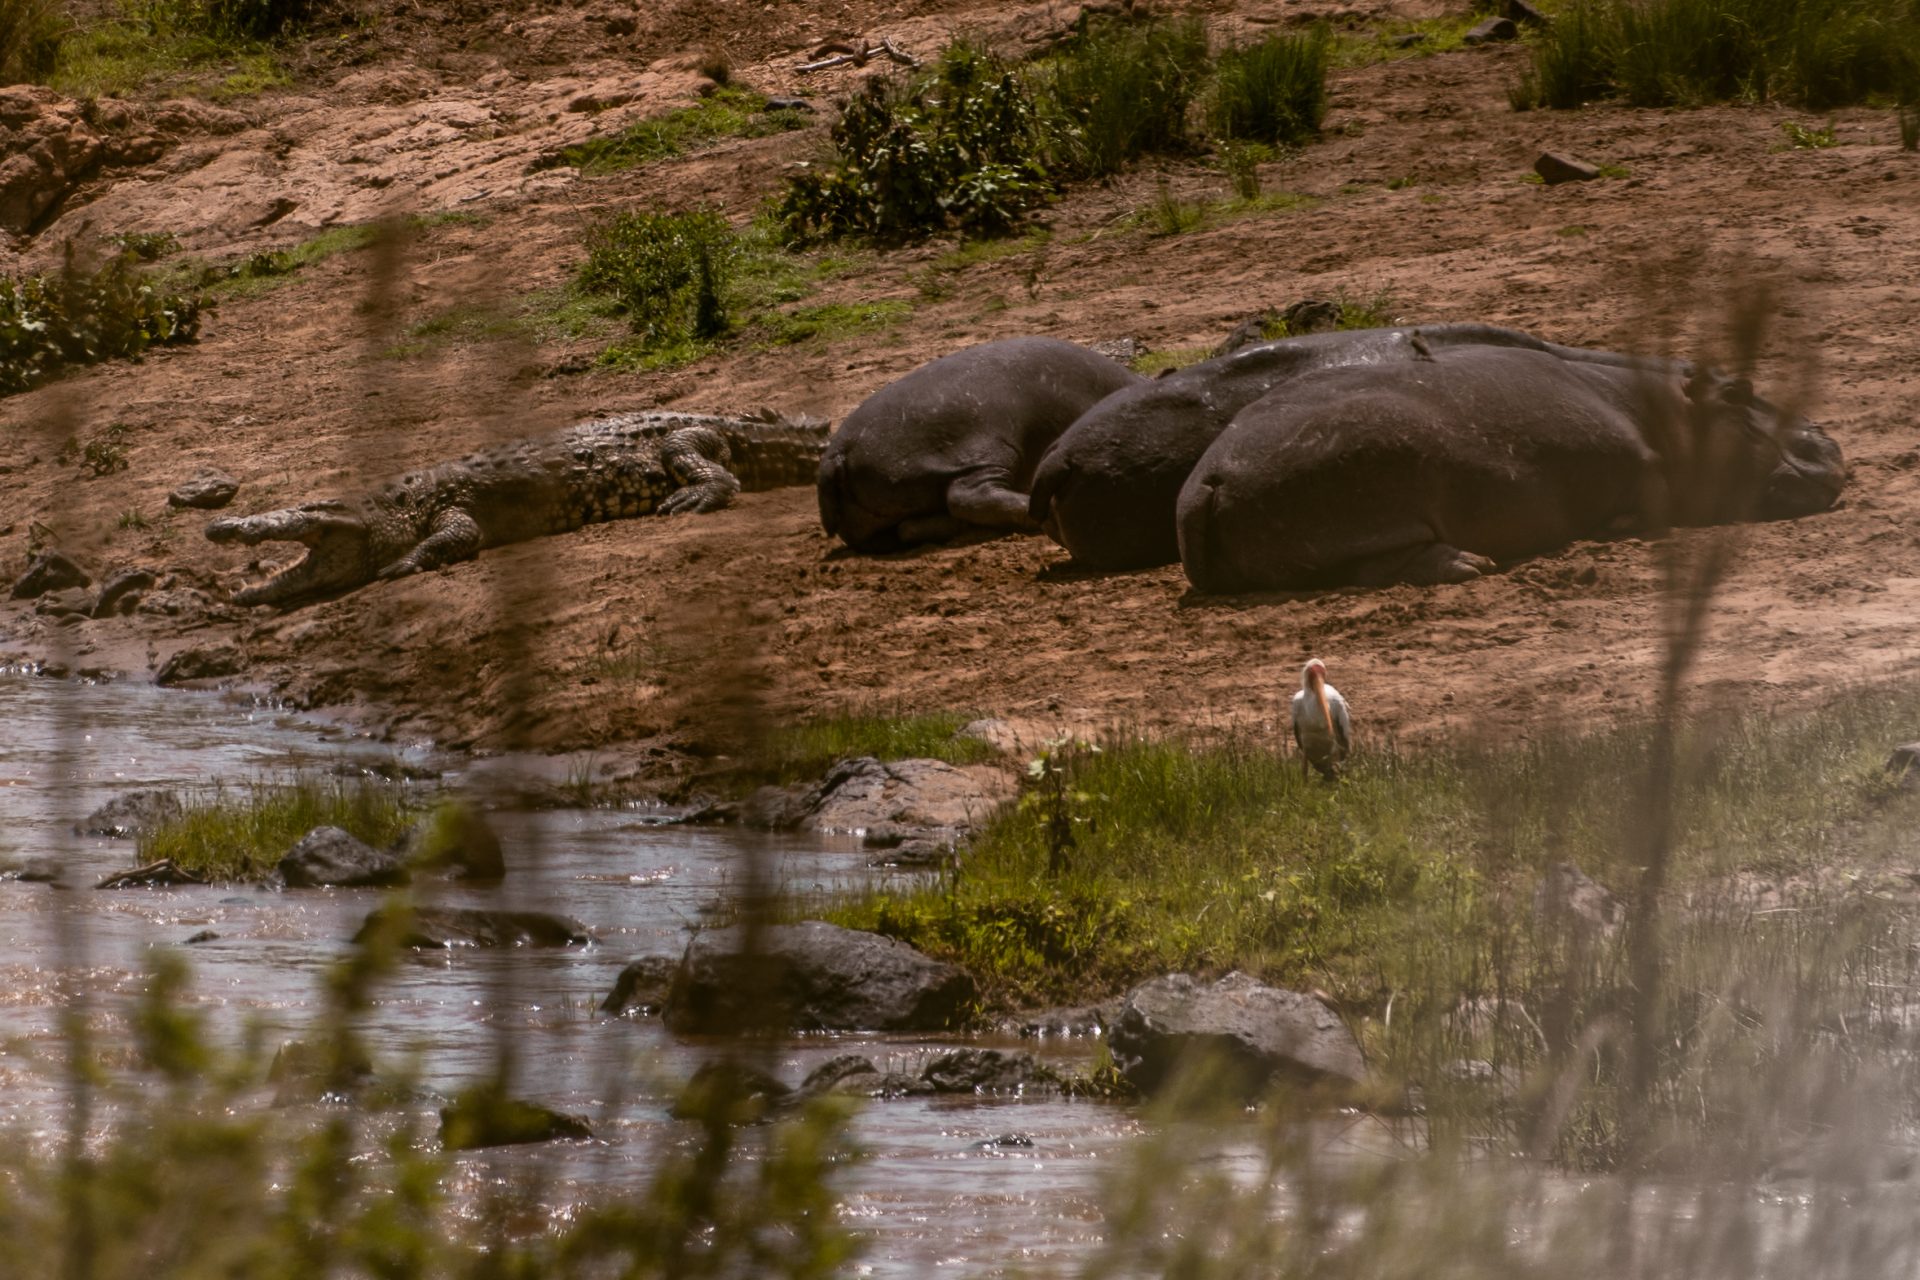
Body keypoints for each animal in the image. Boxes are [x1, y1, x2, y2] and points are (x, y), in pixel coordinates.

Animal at [1167, 345, 1843, 594]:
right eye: (1741, 391)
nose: (1827, 441)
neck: (1669, 414)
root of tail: (1208, 480)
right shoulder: (1640, 464)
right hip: (1361, 500)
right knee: (1376, 565)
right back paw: (1471, 564)